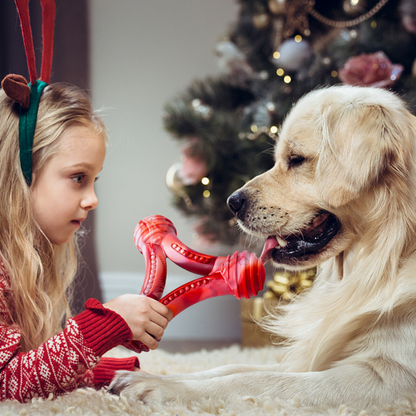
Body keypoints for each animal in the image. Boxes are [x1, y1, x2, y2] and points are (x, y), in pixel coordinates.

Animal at [110, 86, 416, 408]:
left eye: (296, 159)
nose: (232, 203)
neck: (389, 256)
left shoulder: (388, 377)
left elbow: (255, 379)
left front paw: (160, 388)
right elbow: (230, 366)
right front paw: (155, 376)